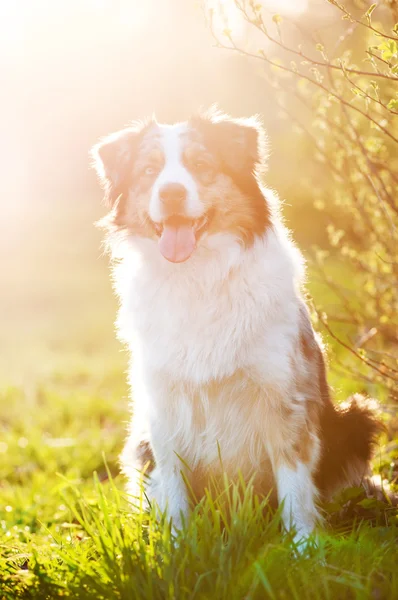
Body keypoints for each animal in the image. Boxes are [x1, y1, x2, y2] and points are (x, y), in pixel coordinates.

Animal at [91, 108, 380, 544]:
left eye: (201, 166)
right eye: (149, 171)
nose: (170, 193)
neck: (198, 276)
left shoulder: (285, 395)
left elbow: (295, 483)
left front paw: (303, 547)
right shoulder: (163, 403)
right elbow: (173, 483)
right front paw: (178, 547)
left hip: (356, 418)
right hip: (139, 443)